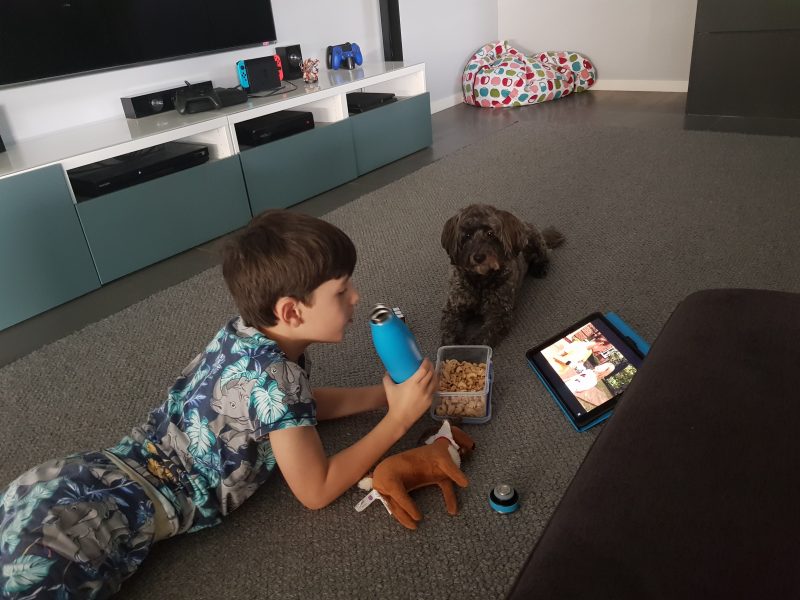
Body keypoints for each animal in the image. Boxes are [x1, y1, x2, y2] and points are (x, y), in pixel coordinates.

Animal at [440, 203, 564, 347]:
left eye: (490, 233)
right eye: (467, 235)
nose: (479, 257)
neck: (480, 280)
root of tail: (522, 222)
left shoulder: (499, 314)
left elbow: (482, 338)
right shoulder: (453, 308)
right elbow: (450, 332)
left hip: (533, 240)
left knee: (544, 253)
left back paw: (540, 267)